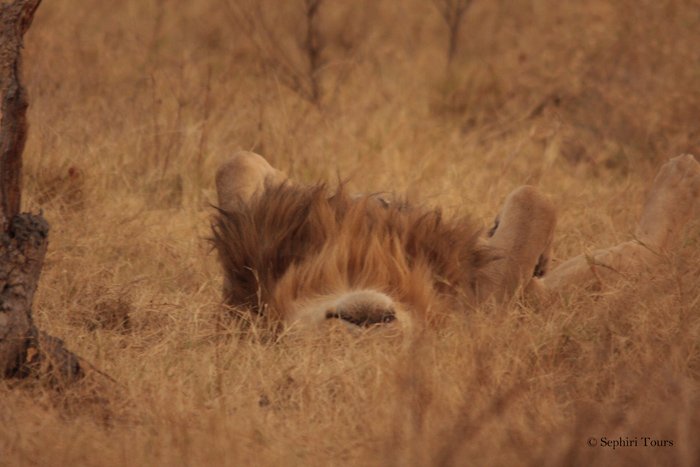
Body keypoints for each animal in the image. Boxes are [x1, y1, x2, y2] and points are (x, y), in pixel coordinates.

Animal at [212, 151, 700, 331]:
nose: (370, 316)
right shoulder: (488, 294)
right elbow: (533, 200)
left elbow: (235, 163)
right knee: (645, 257)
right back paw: (683, 169)